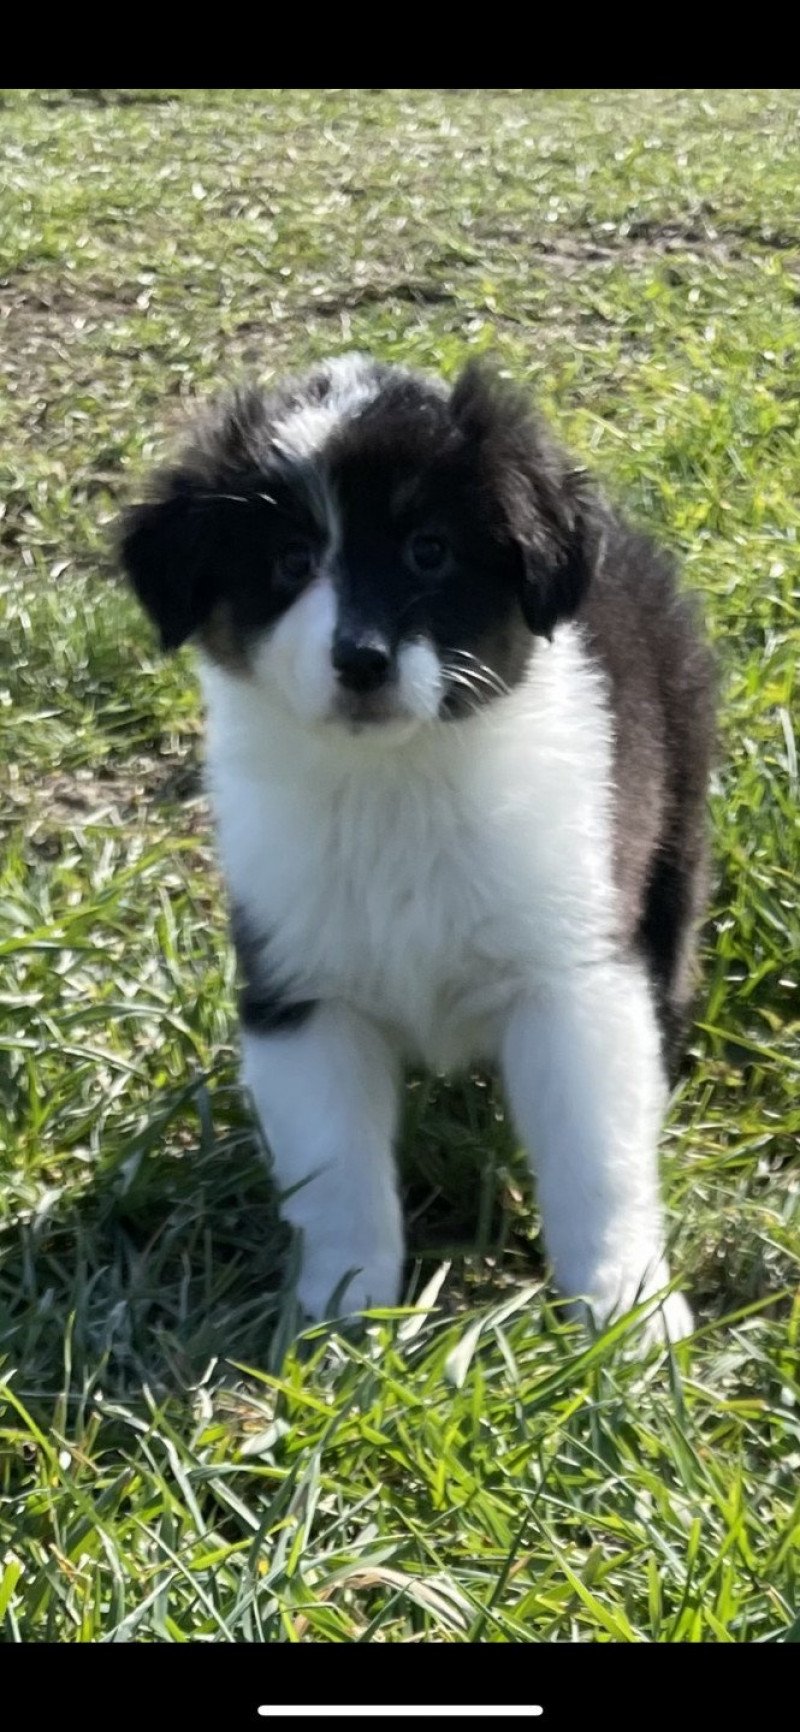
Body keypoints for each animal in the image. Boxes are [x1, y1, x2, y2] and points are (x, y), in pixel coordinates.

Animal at [120, 351, 713, 1344]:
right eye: (290, 562)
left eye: (428, 551)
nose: (361, 660)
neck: (394, 779)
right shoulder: (300, 992)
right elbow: (336, 1175)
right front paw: (340, 1314)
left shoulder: (568, 973)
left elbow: (595, 1158)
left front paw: (624, 1312)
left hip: (676, 829)